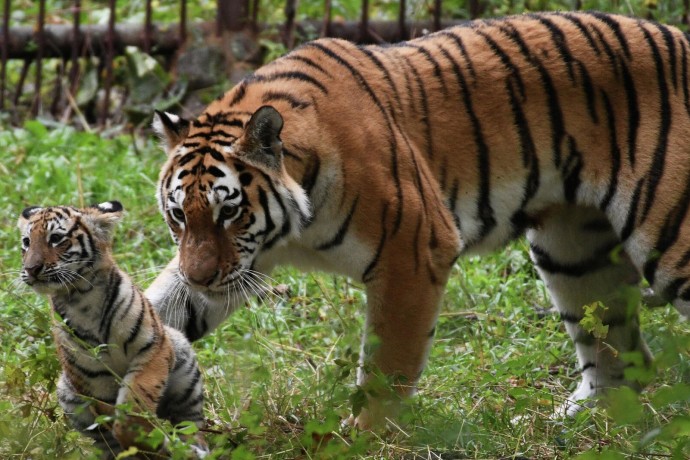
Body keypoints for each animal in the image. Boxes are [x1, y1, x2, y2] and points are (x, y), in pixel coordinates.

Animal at [148, 11, 684, 428]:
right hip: (572, 254)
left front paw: (362, 437)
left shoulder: (412, 250)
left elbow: (387, 363)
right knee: (620, 355)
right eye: (178, 215)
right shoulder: (244, 262)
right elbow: (159, 309)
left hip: (670, 237)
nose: (200, 277)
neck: (293, 229)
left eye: (230, 211)